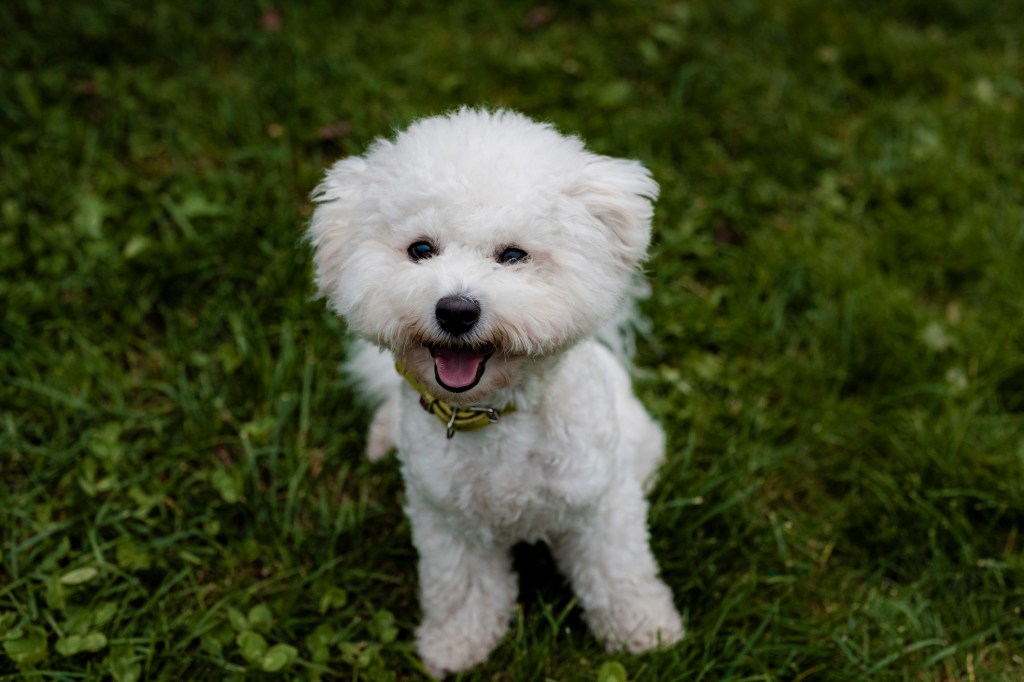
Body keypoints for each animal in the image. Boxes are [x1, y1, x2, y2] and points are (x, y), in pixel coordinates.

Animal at [307, 109, 684, 671]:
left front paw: (645, 631)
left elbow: (620, 575)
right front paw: (456, 644)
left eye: (513, 255)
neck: (492, 413)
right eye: (421, 249)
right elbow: (461, 588)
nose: (456, 310)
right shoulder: (447, 524)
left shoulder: (601, 507)